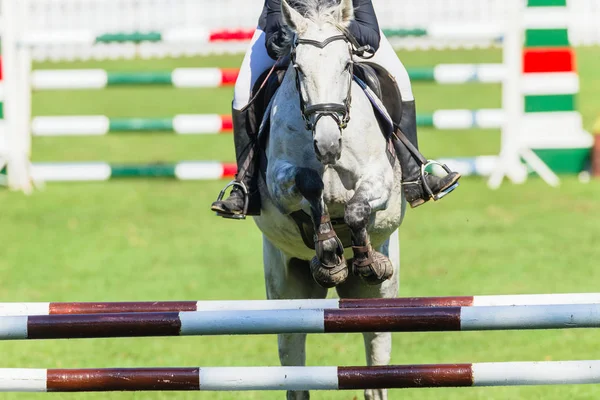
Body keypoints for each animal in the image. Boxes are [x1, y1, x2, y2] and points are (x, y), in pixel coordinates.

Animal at [251, 1, 406, 398]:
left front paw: (363, 259)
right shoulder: (279, 180)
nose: (327, 144)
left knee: (377, 356)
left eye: (347, 66)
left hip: (379, 298)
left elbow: (355, 211)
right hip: (286, 290)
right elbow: (310, 188)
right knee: (294, 363)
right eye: (299, 68)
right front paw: (328, 251)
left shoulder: (379, 179)